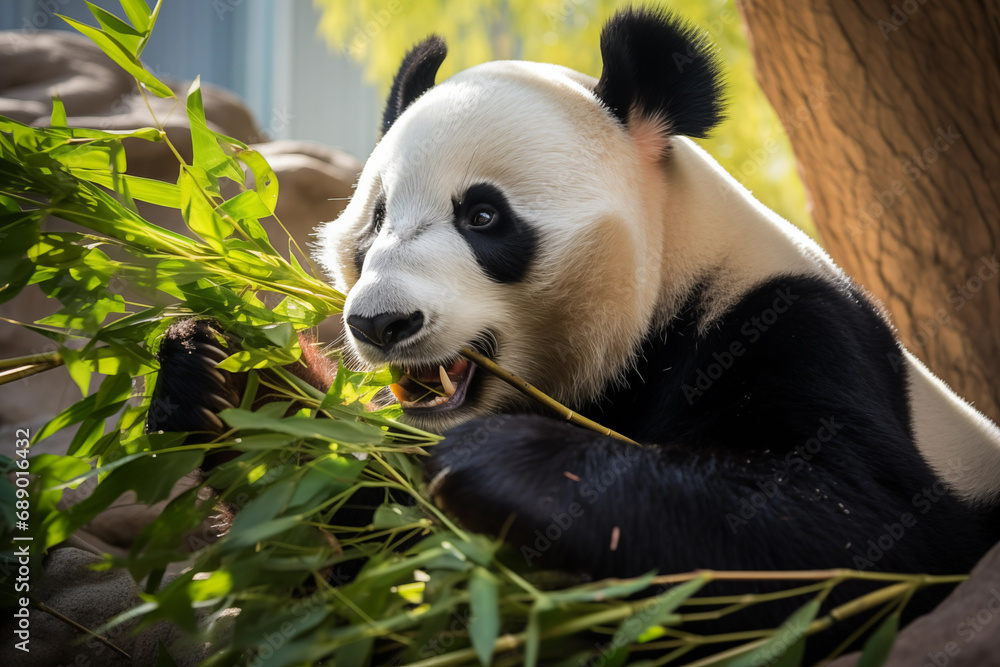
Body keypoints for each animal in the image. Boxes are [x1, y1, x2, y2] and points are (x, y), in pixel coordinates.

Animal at [152, 5, 1000, 650]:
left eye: (483, 215)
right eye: (377, 217)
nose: (383, 321)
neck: (669, 286)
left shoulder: (794, 328)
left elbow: (849, 522)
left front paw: (500, 461)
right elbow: (365, 547)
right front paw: (222, 374)